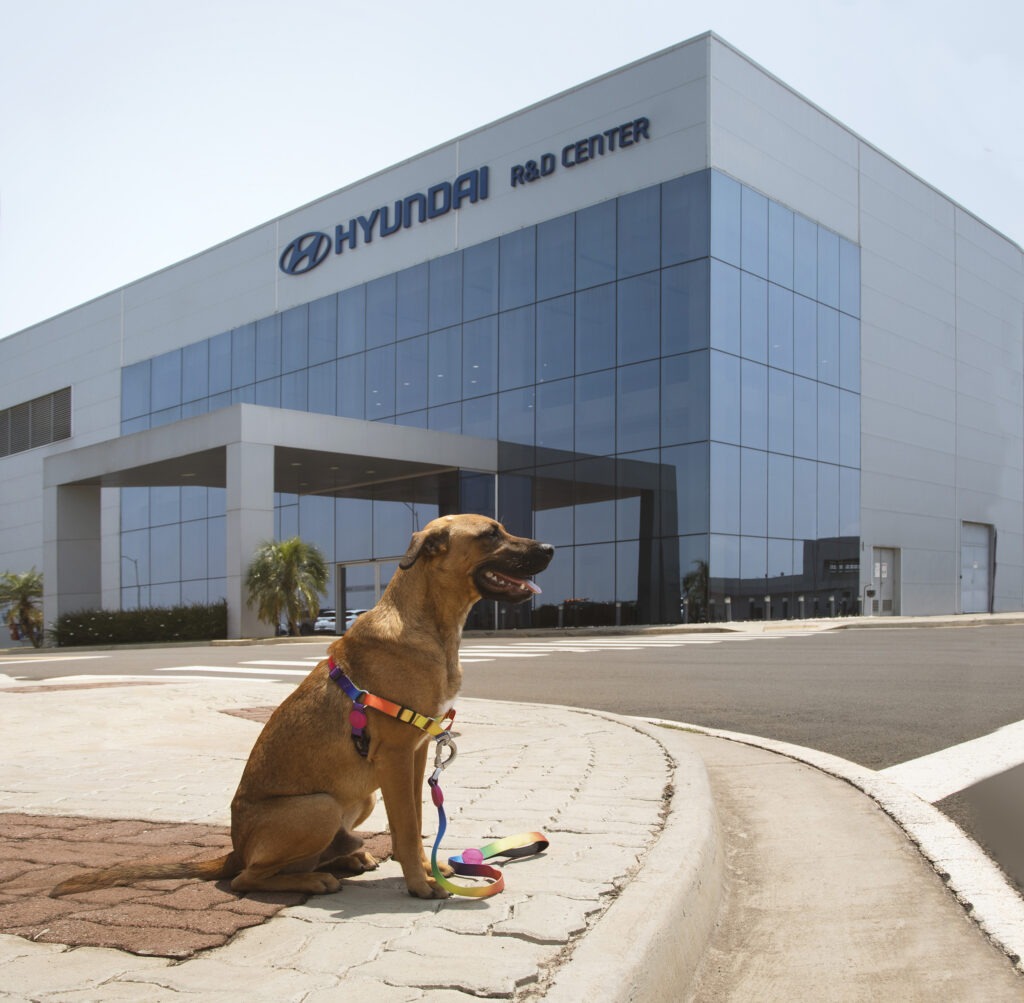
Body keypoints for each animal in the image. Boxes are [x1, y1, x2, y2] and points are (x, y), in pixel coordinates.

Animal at [49, 518, 552, 901]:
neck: (430, 625)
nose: (549, 547)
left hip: (361, 798)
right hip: (319, 806)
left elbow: (418, 819)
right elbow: (407, 830)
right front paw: (420, 882)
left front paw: (428, 871)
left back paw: (349, 856)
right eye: (490, 534)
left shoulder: (416, 753)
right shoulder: (394, 756)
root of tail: (235, 848)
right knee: (247, 878)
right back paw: (315, 878)